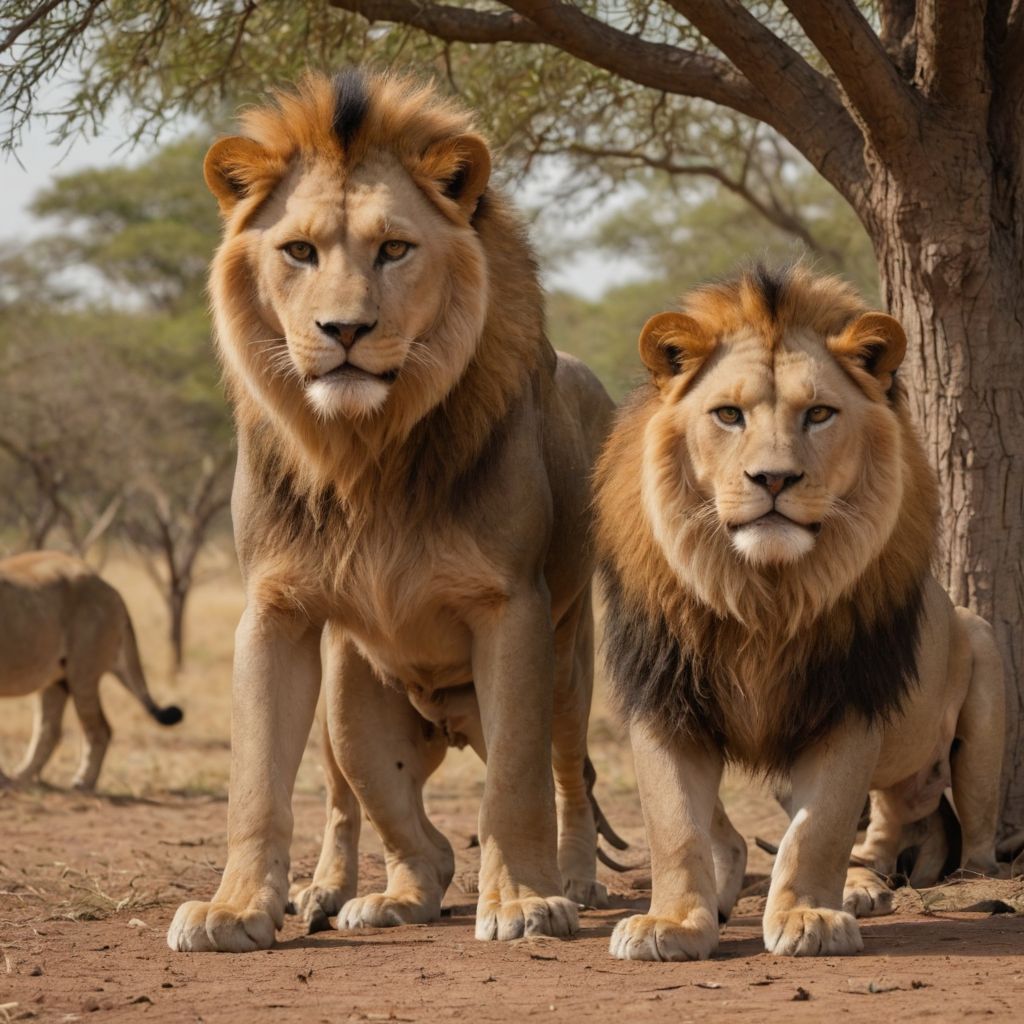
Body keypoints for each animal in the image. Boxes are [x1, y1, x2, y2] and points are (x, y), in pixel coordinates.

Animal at [0, 550, 183, 790]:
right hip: (56, 679)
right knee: (49, 729)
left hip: (83, 674)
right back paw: (20, 777)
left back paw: (82, 782)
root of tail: (108, 586)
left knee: (99, 729)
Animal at [166, 70, 615, 953]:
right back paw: (379, 898)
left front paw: (525, 901)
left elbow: (514, 786)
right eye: (299, 251)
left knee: (564, 771)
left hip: (569, 665)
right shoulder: (274, 609)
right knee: (403, 829)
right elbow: (254, 782)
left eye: (395, 249)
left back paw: (574, 878)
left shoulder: (511, 604)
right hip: (351, 707)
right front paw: (235, 909)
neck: (364, 450)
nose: (344, 329)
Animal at [593, 265, 1005, 960]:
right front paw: (672, 922)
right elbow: (674, 825)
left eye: (818, 414)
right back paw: (855, 881)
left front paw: (809, 915)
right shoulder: (662, 695)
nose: (774, 479)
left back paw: (923, 884)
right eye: (728, 414)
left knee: (960, 830)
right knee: (875, 826)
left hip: (983, 670)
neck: (765, 592)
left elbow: (821, 827)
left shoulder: (851, 700)